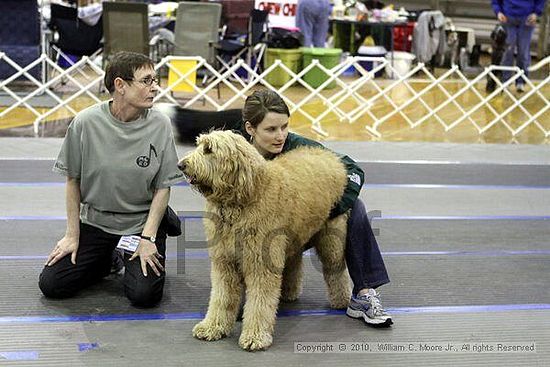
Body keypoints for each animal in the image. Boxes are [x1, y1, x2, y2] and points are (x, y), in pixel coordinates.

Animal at [181, 131, 354, 352]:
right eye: (199, 145)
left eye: (209, 149)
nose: (181, 165)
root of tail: (330, 157)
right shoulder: (224, 263)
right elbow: (221, 297)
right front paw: (212, 327)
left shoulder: (261, 264)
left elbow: (259, 303)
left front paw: (255, 336)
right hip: (292, 238)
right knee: (294, 263)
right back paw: (289, 292)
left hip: (332, 239)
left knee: (336, 270)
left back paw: (342, 300)